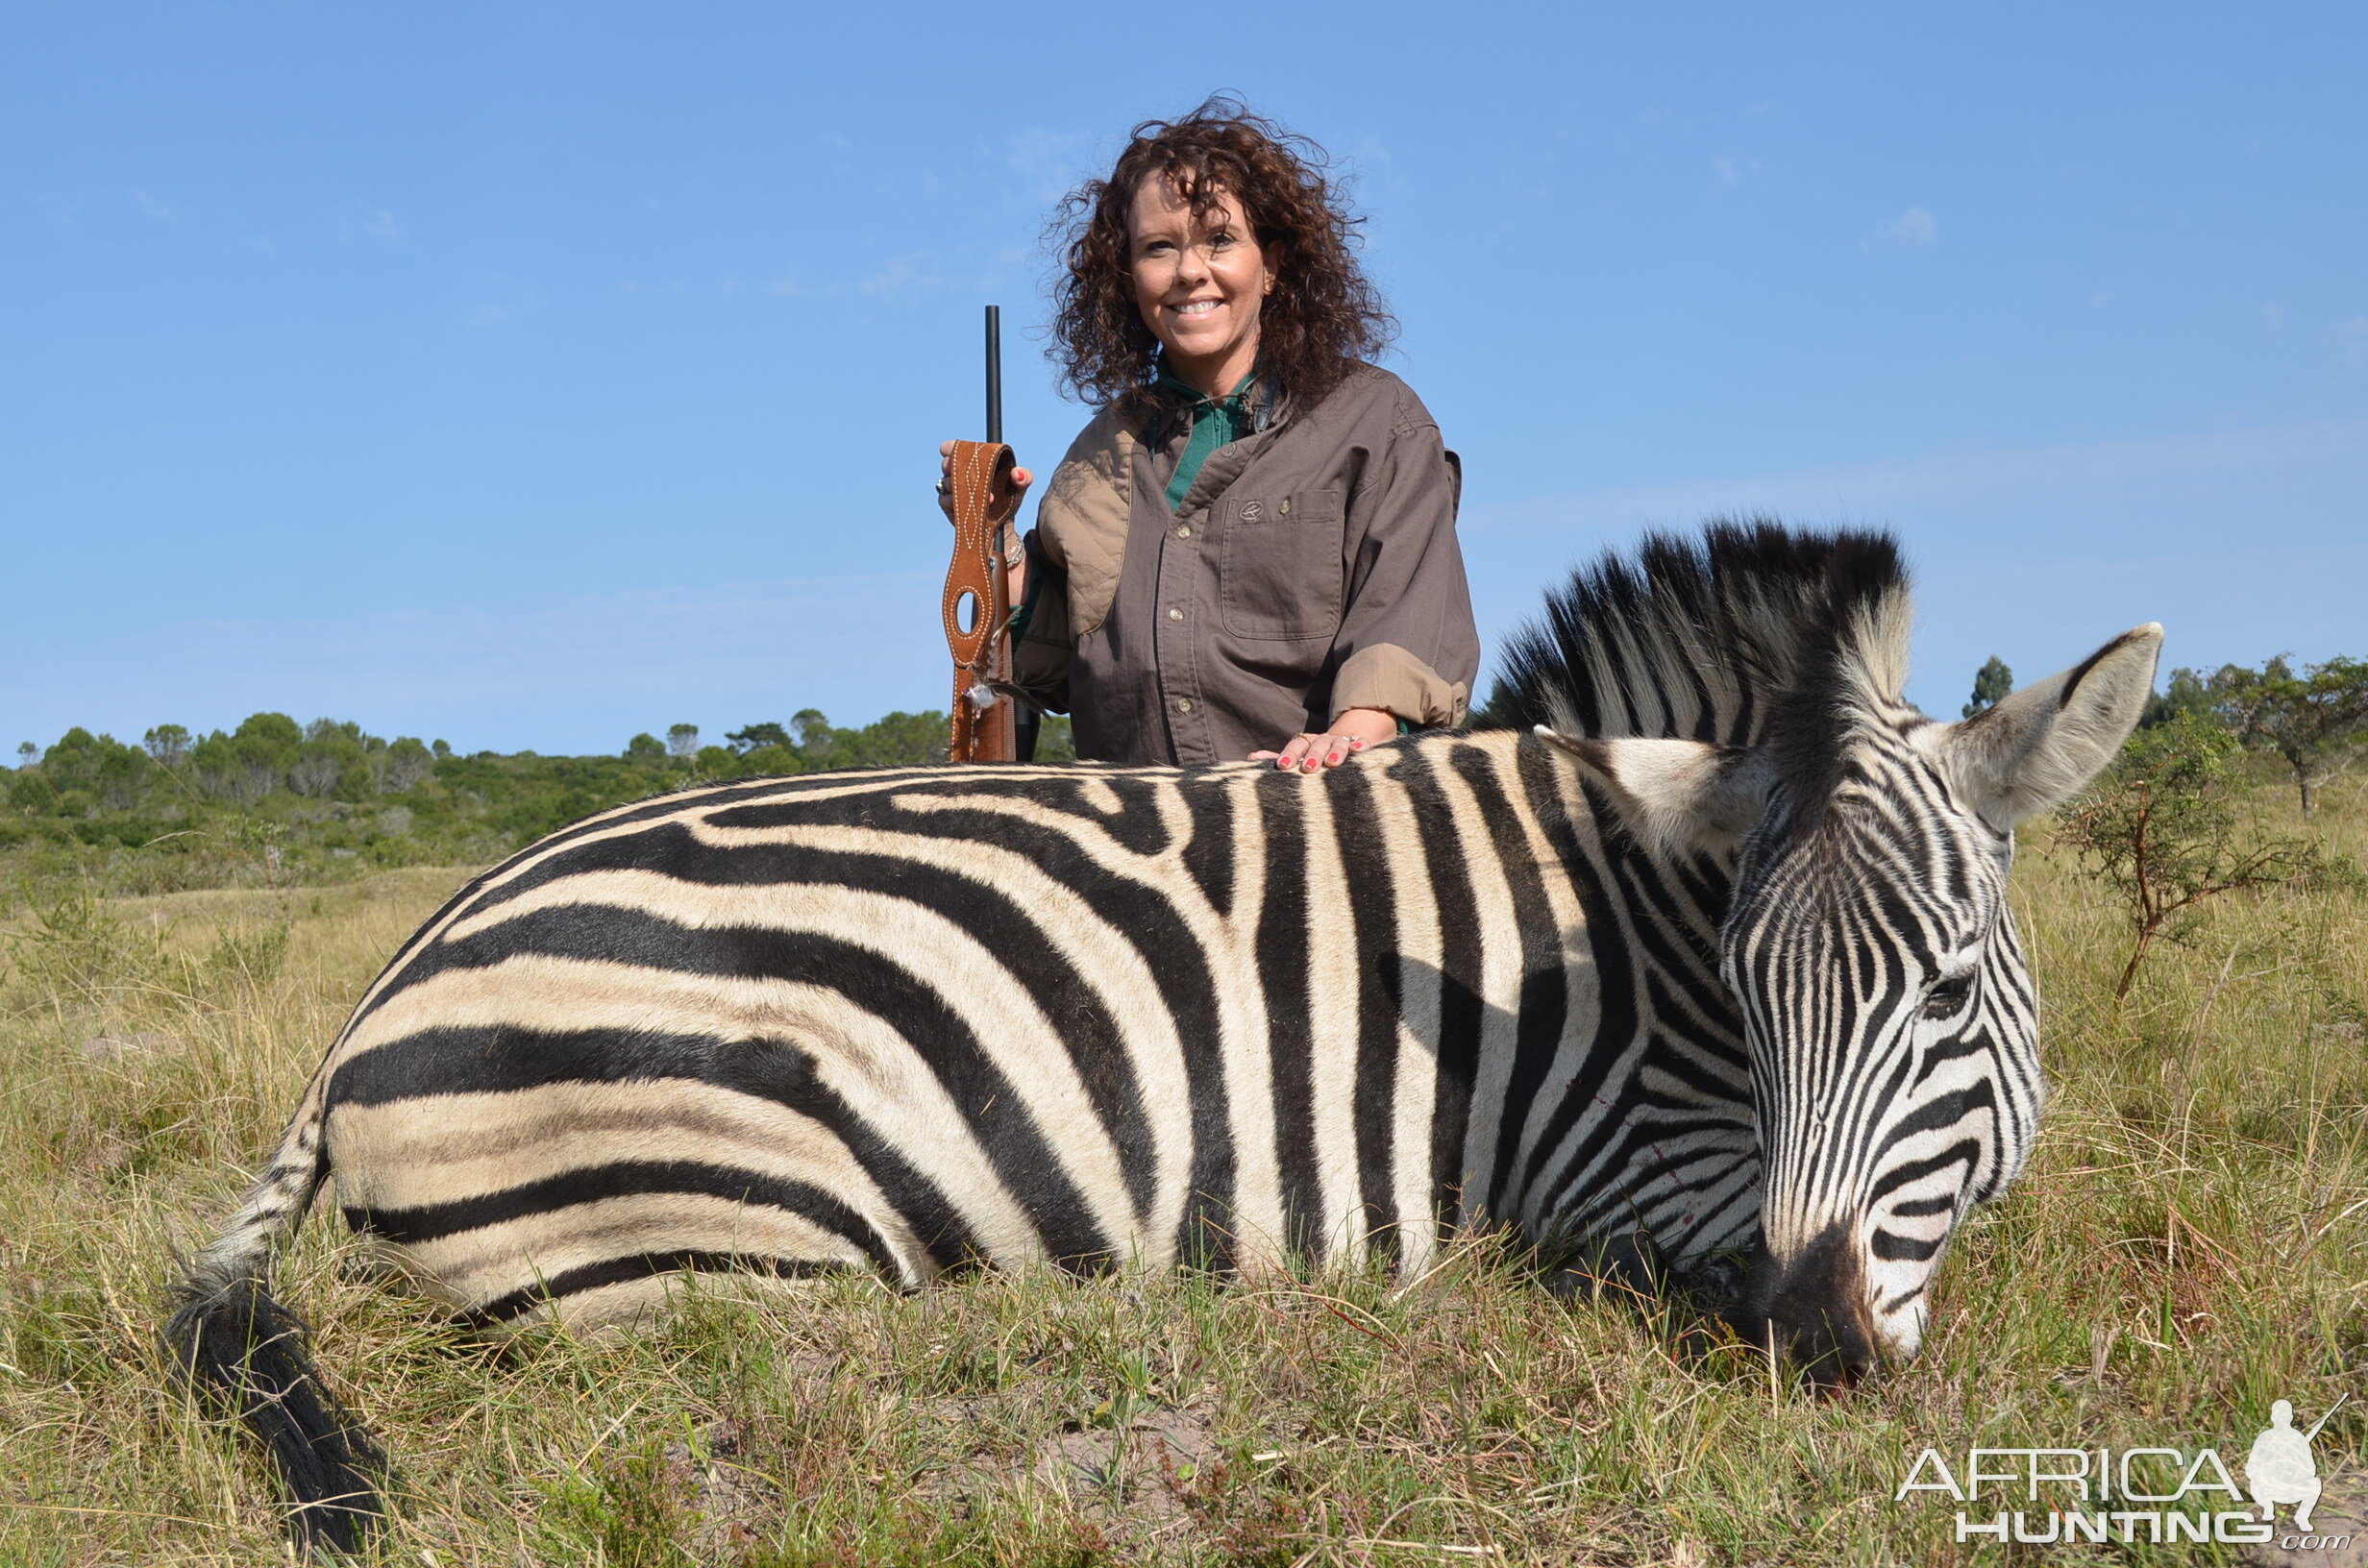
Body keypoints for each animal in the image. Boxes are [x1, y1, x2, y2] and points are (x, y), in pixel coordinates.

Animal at [171, 526, 2169, 1544]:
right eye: (1752, 1004)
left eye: (1941, 986)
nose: (1817, 1352)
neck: (1624, 917)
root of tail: (374, 1000)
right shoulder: (1615, 1167)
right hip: (735, 1242)